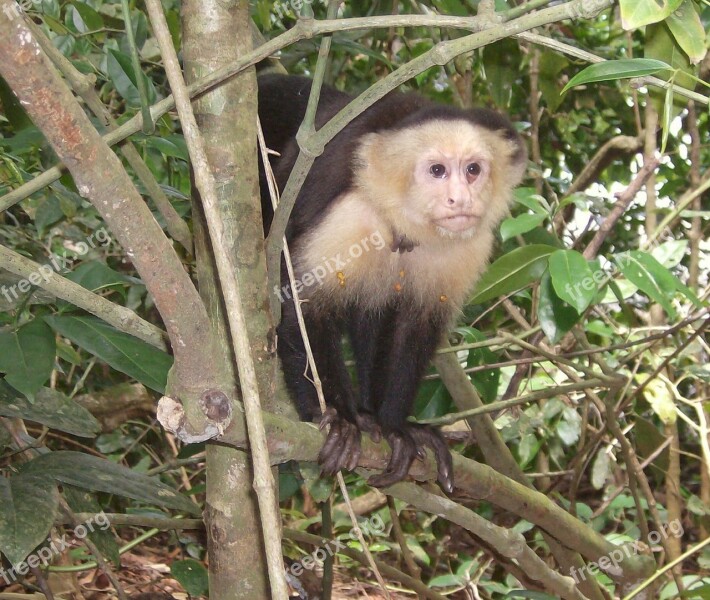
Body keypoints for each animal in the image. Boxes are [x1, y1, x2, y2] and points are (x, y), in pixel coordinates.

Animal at [262, 74, 528, 492]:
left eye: (473, 169)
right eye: (437, 171)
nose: (460, 200)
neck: (408, 226)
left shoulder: (469, 246)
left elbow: (414, 328)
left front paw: (396, 426)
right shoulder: (352, 216)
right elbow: (303, 309)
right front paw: (340, 418)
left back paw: (373, 415)